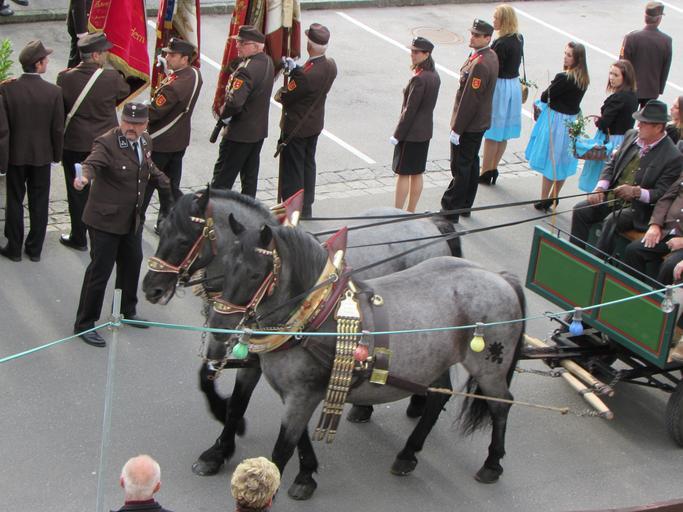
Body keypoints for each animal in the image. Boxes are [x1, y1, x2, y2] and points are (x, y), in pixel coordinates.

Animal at [141, 187, 462, 476]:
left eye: (184, 239)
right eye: (162, 228)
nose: (151, 288)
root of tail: (431, 224)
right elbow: (217, 385)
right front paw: (219, 449)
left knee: (441, 388)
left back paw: (409, 445)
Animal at [207, 213, 526, 500]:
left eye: (254, 273)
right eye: (224, 265)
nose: (218, 323)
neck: (315, 317)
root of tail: (500, 278)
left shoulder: (301, 396)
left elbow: (281, 451)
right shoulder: (299, 395)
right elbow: (293, 434)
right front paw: (306, 475)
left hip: (488, 368)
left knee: (501, 405)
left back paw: (492, 463)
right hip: (436, 360)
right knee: (439, 395)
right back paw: (408, 453)